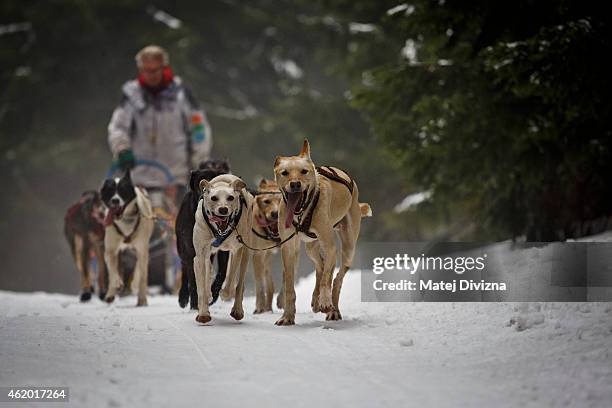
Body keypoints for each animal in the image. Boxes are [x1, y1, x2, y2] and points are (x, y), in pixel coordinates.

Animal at [99, 170, 154, 306]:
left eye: (122, 190)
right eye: (110, 190)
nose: (115, 200)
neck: (125, 219)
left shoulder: (142, 249)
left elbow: (142, 276)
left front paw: (142, 299)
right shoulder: (110, 250)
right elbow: (112, 270)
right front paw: (116, 284)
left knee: (139, 268)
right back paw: (111, 293)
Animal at [176, 159, 231, 310]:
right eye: (200, 182)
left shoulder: (223, 250)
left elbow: (222, 272)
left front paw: (213, 294)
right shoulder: (191, 250)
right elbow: (193, 278)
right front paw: (195, 303)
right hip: (181, 248)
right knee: (184, 268)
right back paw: (184, 297)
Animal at [191, 174, 253, 324]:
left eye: (230, 197)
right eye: (214, 198)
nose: (223, 209)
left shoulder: (236, 250)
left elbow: (231, 279)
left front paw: (225, 293)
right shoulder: (200, 255)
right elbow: (202, 287)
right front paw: (203, 313)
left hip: (245, 252)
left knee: (240, 283)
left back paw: (237, 310)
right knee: (208, 272)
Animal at [274, 139, 370, 326]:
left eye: (304, 171)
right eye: (285, 173)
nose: (295, 184)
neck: (303, 212)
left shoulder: (330, 245)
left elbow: (327, 278)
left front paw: (325, 301)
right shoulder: (288, 248)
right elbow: (290, 285)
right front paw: (287, 316)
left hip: (348, 248)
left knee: (336, 278)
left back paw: (332, 309)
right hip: (310, 247)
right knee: (321, 265)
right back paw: (315, 299)